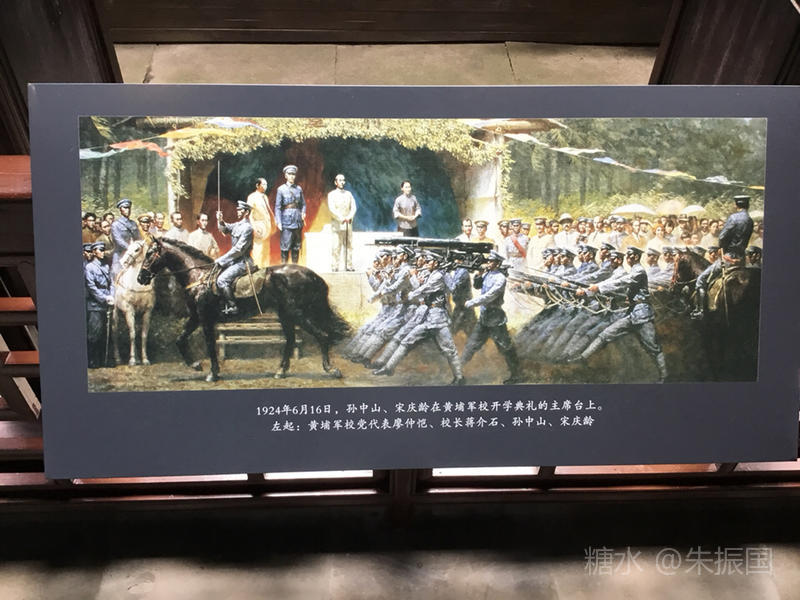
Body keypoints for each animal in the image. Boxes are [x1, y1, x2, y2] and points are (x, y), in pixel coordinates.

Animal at [136, 237, 350, 382]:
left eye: (149, 254)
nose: (141, 278)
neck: (199, 277)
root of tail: (312, 275)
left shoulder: (205, 319)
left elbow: (210, 346)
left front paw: (212, 373)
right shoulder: (196, 318)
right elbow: (180, 340)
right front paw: (196, 365)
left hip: (298, 314)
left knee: (322, 335)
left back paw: (331, 370)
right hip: (286, 315)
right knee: (290, 340)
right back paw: (281, 371)